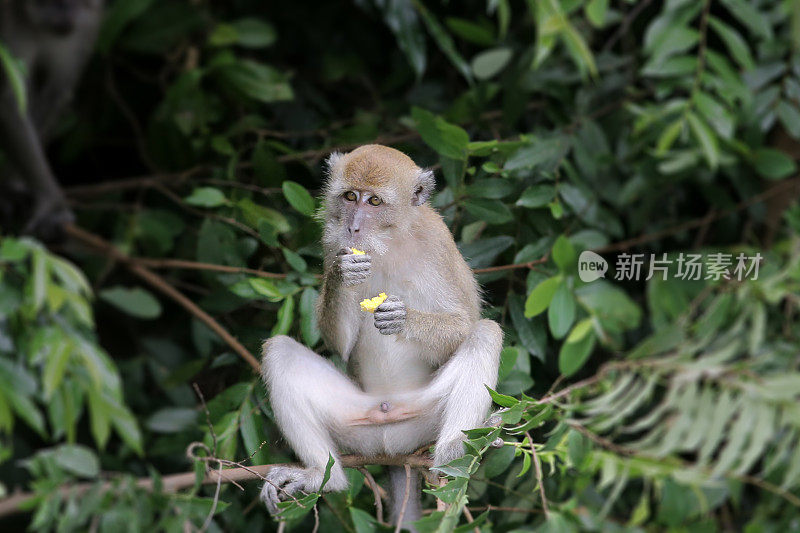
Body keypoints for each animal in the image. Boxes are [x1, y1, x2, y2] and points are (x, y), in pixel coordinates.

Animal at [0, 0, 103, 240]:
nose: (65, 15)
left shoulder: (86, 27)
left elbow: (56, 95)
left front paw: (13, 185)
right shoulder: (10, 24)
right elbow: (10, 102)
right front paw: (53, 203)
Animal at [260, 143, 500, 524]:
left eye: (374, 202)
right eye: (350, 196)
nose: (353, 227)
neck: (389, 242)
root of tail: (391, 442)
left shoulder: (438, 245)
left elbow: (465, 324)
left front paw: (404, 319)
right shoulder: (330, 240)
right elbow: (340, 344)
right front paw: (342, 273)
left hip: (422, 419)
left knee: (486, 332)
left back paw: (455, 452)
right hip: (357, 423)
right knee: (278, 350)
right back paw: (321, 476)